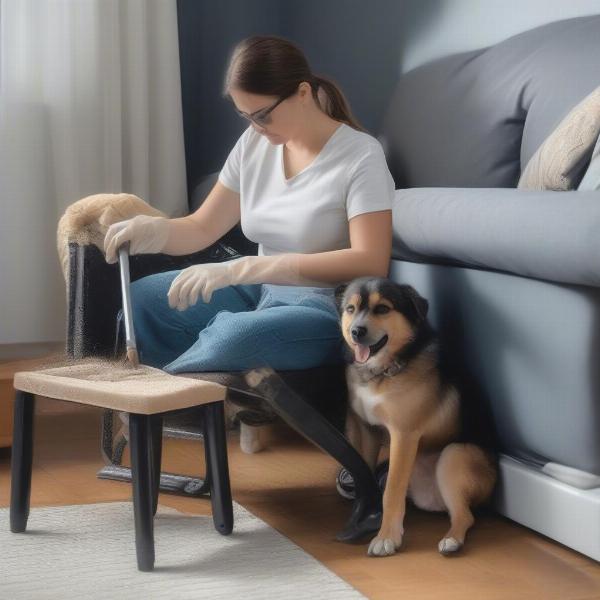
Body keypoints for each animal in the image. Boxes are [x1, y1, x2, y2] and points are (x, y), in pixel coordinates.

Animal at [332, 278, 496, 556]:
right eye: (351, 309)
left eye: (383, 309)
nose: (356, 332)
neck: (383, 371)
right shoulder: (365, 428)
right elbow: (363, 473)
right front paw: (361, 517)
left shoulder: (403, 435)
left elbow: (391, 492)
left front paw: (386, 538)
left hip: (453, 455)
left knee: (465, 516)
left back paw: (452, 540)